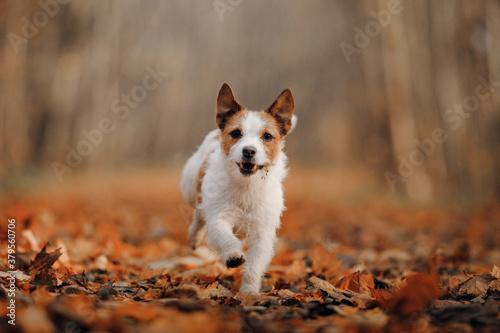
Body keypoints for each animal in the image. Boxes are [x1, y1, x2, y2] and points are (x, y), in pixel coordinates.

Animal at [181, 82, 294, 294]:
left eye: (267, 136)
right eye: (235, 133)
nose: (249, 150)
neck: (246, 186)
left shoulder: (262, 234)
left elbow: (254, 265)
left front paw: (249, 292)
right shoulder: (219, 218)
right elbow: (226, 237)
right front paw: (233, 255)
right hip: (189, 189)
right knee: (198, 213)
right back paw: (195, 236)